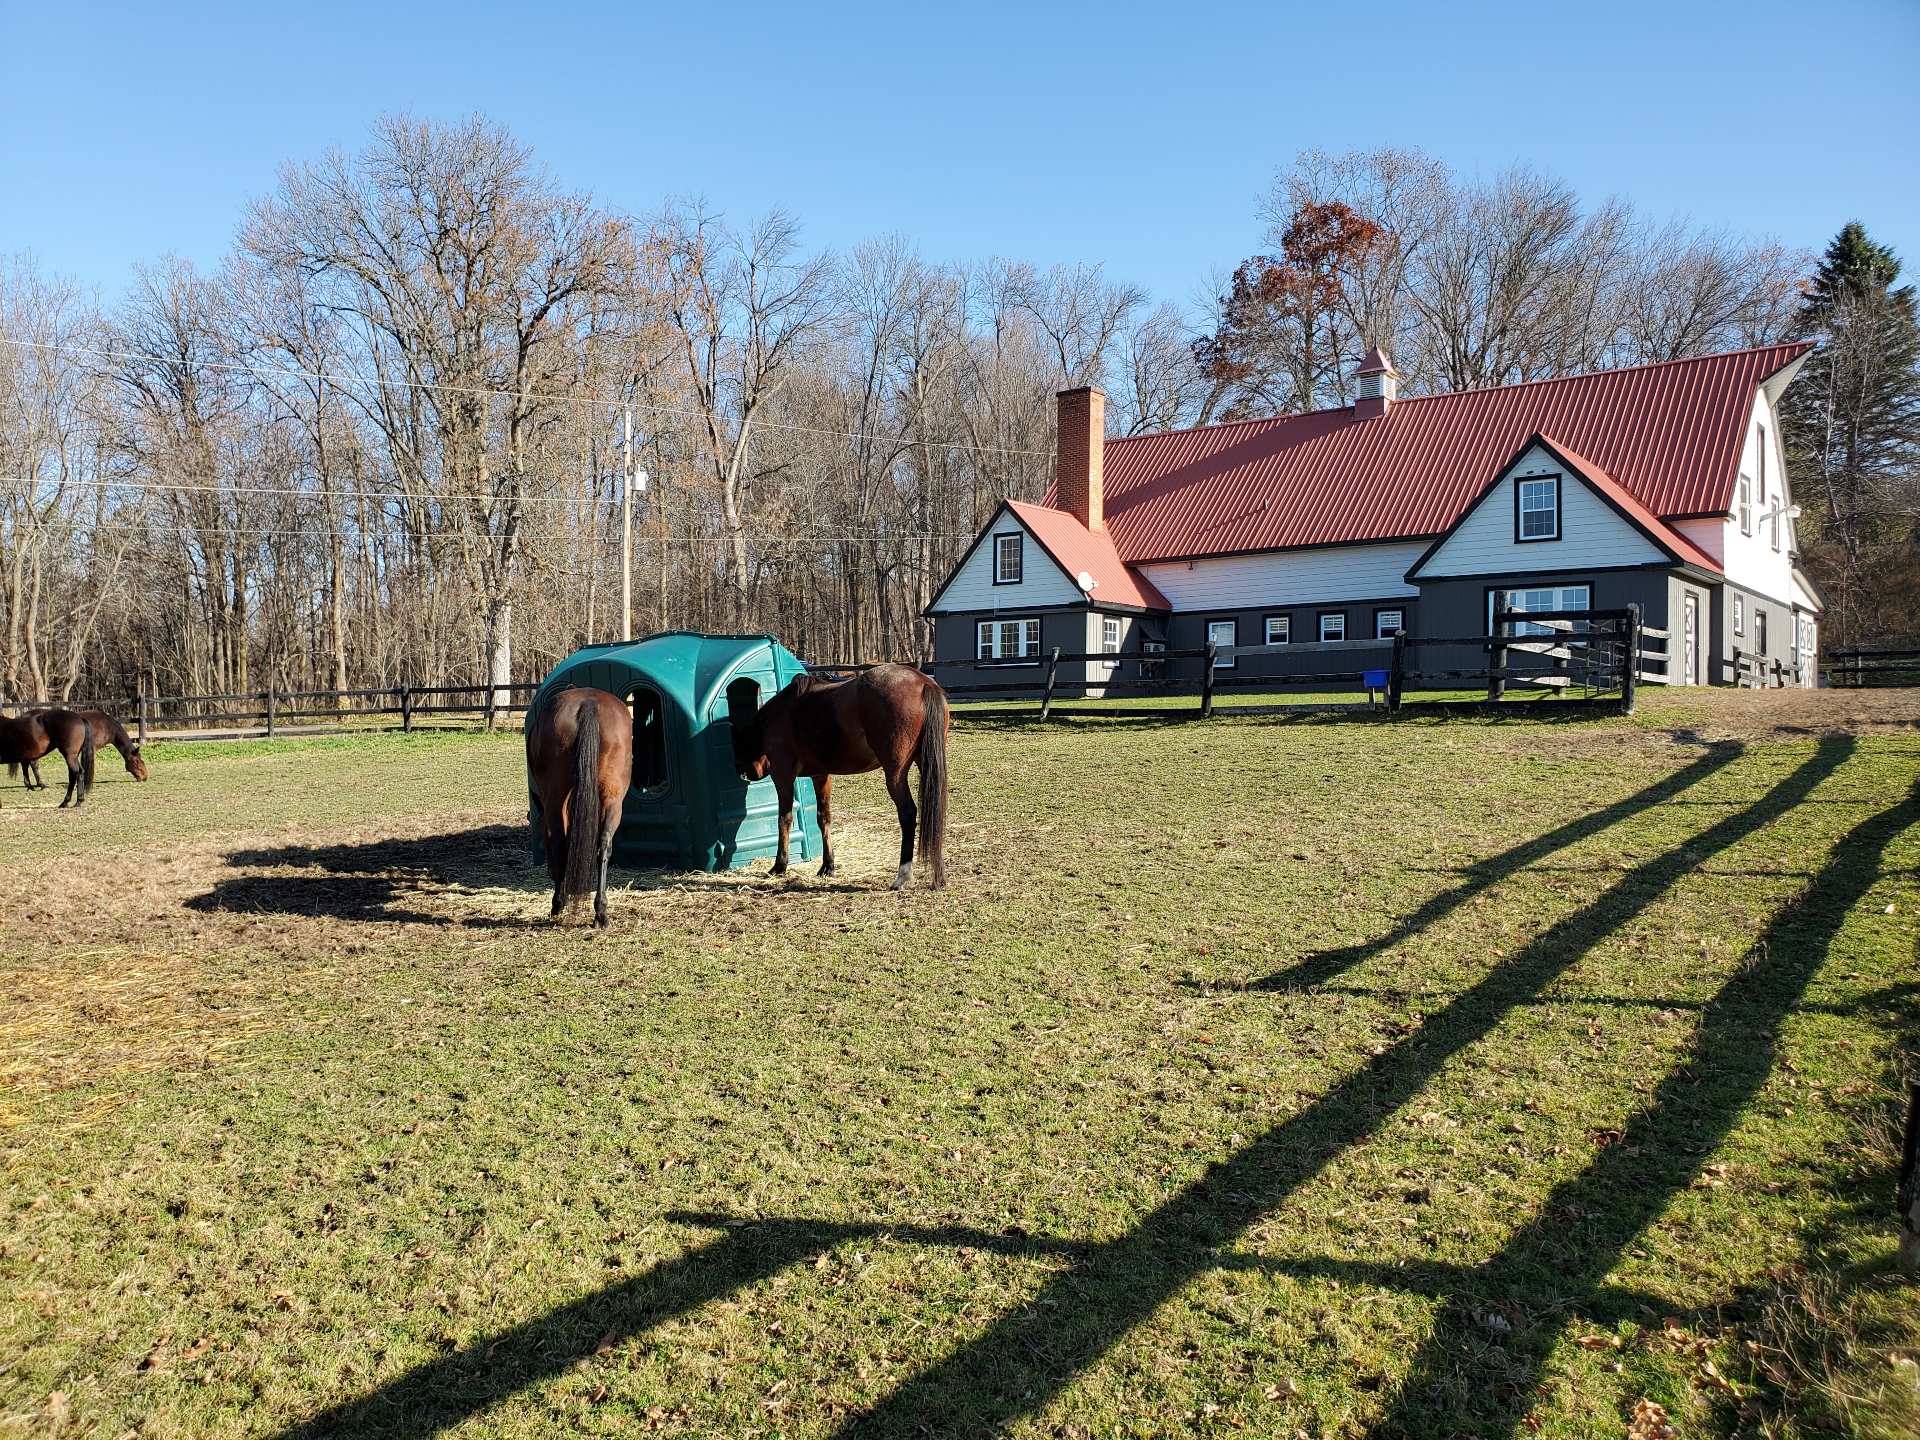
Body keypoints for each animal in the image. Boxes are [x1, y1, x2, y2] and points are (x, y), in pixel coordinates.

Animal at [12, 709, 148, 790]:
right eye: (138, 762)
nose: (145, 777)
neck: (107, 725)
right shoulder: (92, 748)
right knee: (32, 764)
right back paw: (40, 784)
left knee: (26, 763)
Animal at [525, 686, 633, 927]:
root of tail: (588, 704)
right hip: (613, 800)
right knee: (603, 845)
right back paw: (600, 912)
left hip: (556, 800)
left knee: (560, 842)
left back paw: (558, 903)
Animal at [730, 663, 949, 890]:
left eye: (736, 747)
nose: (742, 773)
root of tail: (922, 682)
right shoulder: (821, 776)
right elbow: (823, 818)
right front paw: (828, 866)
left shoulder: (783, 776)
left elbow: (785, 818)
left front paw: (780, 865)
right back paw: (938, 874)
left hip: (895, 774)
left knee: (907, 813)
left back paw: (903, 876)